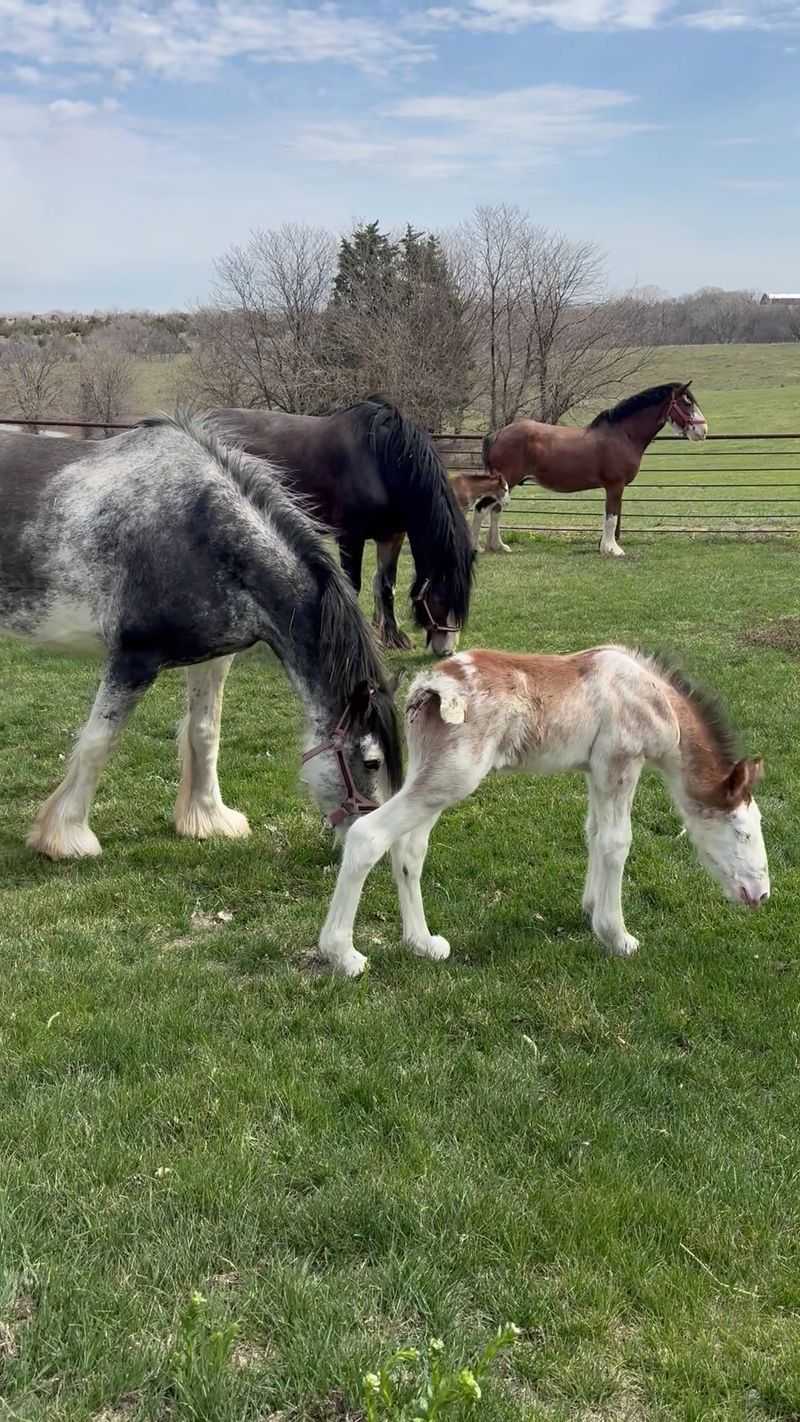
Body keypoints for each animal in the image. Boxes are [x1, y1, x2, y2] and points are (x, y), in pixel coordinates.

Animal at [0, 415, 402, 858]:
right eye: (372, 762)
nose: (376, 849)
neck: (200, 532)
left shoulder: (214, 658)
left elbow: (205, 731)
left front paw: (208, 819)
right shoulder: (134, 659)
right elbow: (98, 741)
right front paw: (66, 835)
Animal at [208, 399, 474, 655]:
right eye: (439, 598)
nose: (446, 650)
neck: (381, 461)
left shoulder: (392, 536)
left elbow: (387, 586)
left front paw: (393, 638)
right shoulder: (350, 537)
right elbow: (353, 586)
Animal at [317, 645, 769, 976]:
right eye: (741, 831)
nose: (761, 894)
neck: (656, 700)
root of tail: (429, 685)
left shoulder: (596, 769)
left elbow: (594, 833)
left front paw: (591, 908)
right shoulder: (620, 761)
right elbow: (617, 842)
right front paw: (617, 935)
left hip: (430, 772)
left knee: (409, 849)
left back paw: (423, 943)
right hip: (454, 778)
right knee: (368, 835)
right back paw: (343, 954)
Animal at [481, 382, 708, 557]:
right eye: (687, 403)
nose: (703, 430)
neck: (623, 434)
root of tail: (497, 434)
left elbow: (609, 516)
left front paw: (605, 547)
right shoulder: (615, 486)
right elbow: (611, 517)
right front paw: (613, 550)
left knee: (494, 511)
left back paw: (496, 546)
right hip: (507, 480)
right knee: (489, 509)